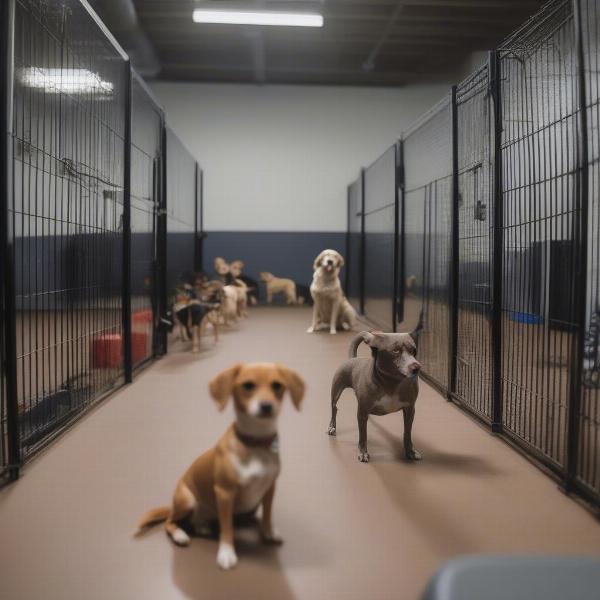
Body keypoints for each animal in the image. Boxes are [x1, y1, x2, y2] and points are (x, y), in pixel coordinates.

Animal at [328, 322, 422, 462]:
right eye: (395, 351)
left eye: (413, 351)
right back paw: (332, 427)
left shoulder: (410, 410)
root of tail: (353, 359)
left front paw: (410, 451)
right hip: (336, 391)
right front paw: (363, 452)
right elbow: (363, 436)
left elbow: (407, 433)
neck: (392, 383)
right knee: (334, 408)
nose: (416, 367)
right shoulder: (362, 412)